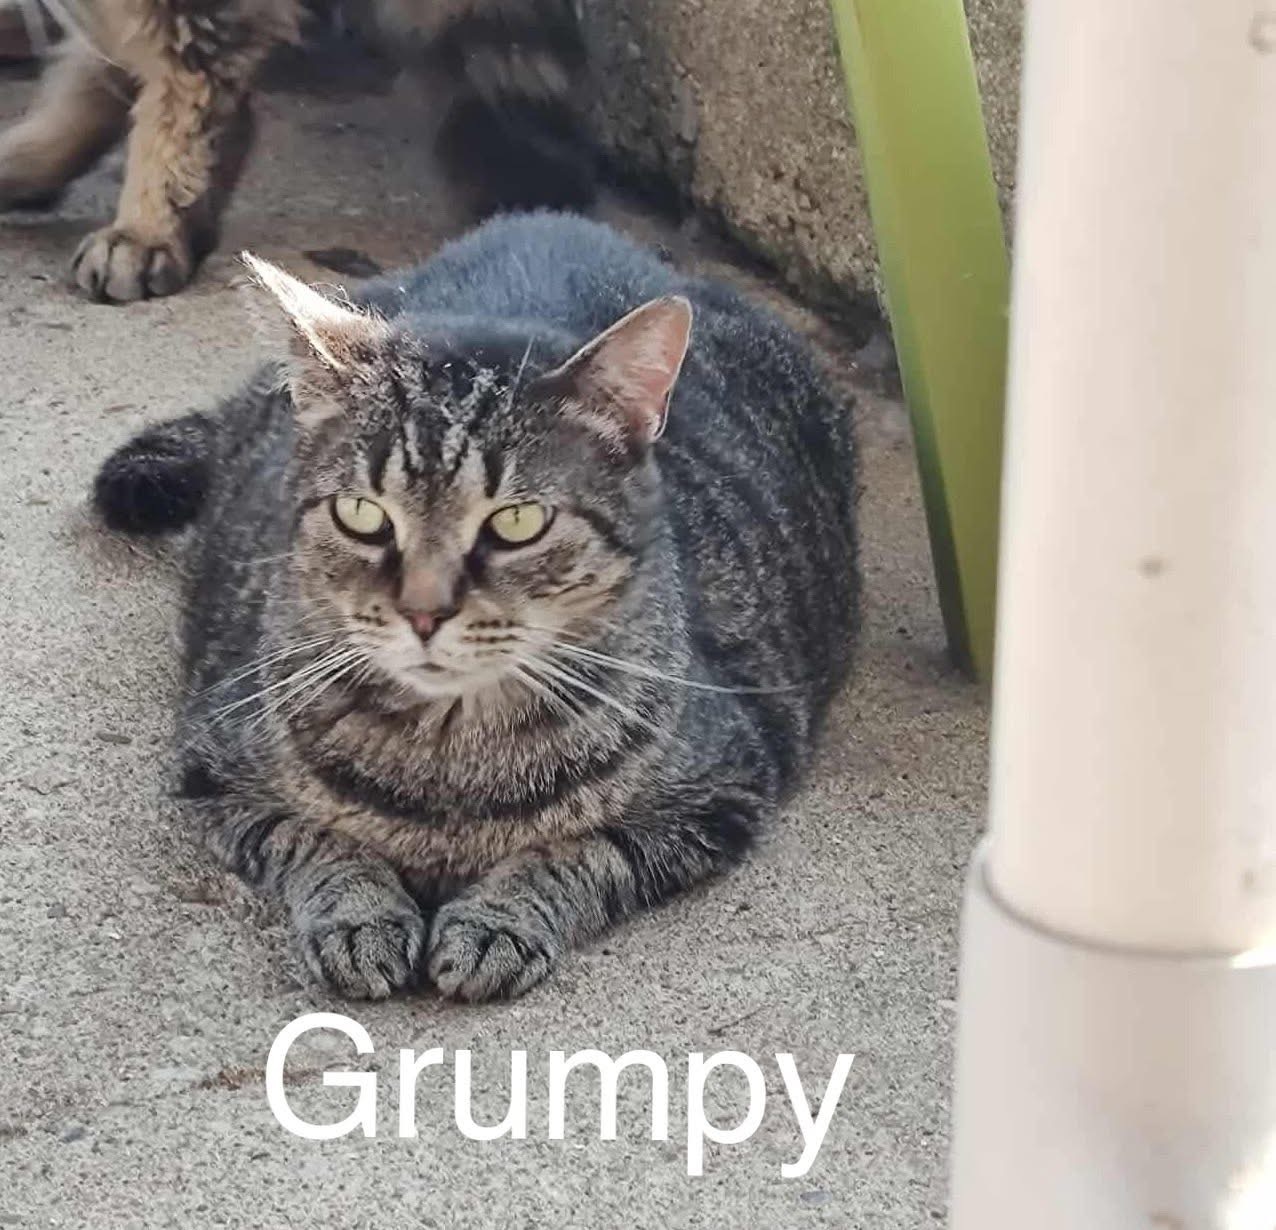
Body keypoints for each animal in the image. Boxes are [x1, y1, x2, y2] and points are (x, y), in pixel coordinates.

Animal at [92, 212, 858, 1001]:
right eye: (361, 514)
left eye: (517, 523)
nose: (424, 613)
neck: (451, 763)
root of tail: (546, 219)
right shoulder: (214, 768)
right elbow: (312, 838)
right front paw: (361, 915)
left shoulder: (723, 789)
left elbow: (580, 850)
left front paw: (496, 922)